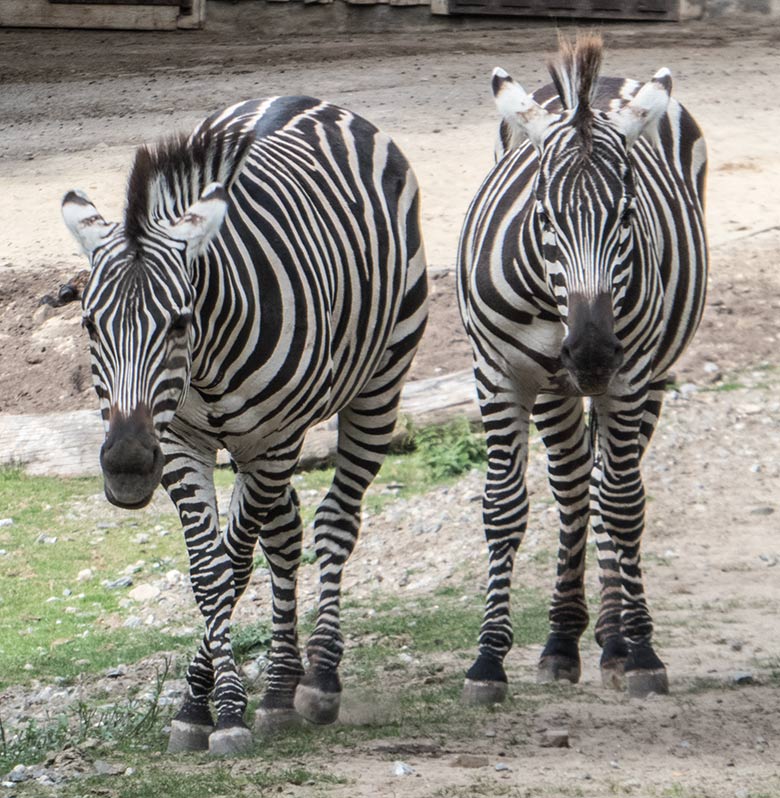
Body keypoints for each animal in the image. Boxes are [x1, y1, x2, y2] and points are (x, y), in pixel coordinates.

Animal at [61, 95, 430, 756]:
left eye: (179, 322)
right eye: (89, 325)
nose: (126, 467)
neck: (204, 363)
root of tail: (310, 100)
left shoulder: (273, 440)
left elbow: (232, 566)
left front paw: (224, 708)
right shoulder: (181, 444)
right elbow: (210, 571)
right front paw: (198, 705)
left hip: (376, 386)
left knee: (336, 520)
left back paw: (318, 678)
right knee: (285, 530)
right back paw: (281, 686)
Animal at [458, 34, 708, 704]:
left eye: (626, 216)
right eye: (543, 216)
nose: (592, 354)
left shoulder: (631, 374)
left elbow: (622, 505)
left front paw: (640, 652)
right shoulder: (498, 373)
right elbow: (503, 508)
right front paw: (488, 660)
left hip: (650, 376)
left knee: (607, 485)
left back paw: (615, 638)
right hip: (553, 386)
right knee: (573, 486)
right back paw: (563, 640)